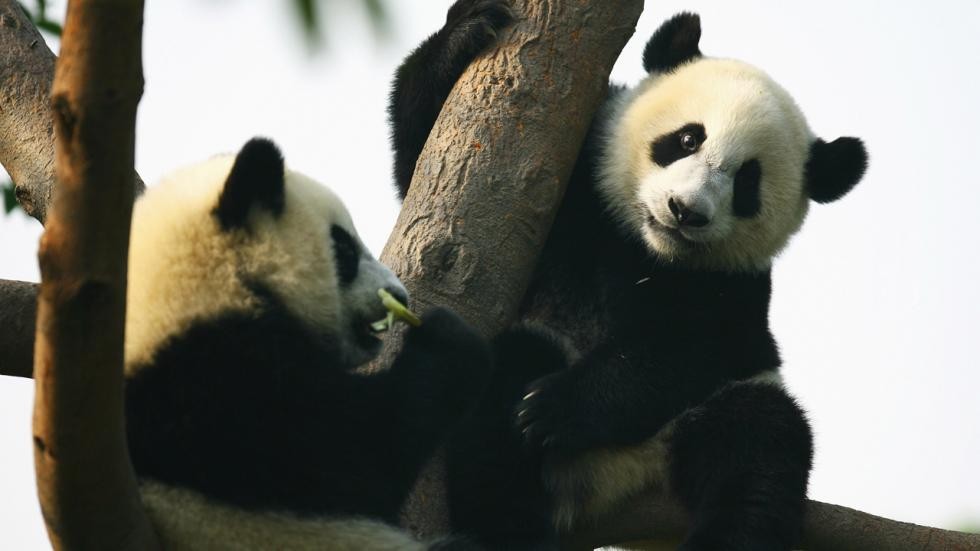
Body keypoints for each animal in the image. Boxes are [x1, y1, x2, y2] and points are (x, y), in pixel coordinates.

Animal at [388, 5, 864, 551]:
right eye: (687, 139)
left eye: (748, 181)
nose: (685, 211)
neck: (643, 245)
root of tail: (614, 487)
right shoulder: (575, 182)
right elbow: (426, 163)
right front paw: (469, 28)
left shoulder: (730, 288)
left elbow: (688, 350)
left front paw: (561, 406)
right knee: (505, 395)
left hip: (699, 416)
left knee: (759, 445)